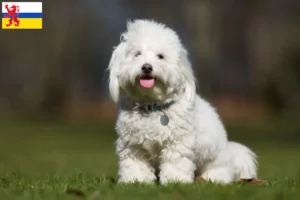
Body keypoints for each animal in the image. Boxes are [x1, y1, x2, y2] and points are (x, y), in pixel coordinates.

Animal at [106, 19, 256, 184]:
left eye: (160, 56)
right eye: (137, 54)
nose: (146, 67)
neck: (152, 106)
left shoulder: (177, 142)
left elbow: (175, 161)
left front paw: (175, 180)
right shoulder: (133, 144)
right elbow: (135, 163)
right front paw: (135, 180)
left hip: (215, 156)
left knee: (222, 170)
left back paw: (212, 177)